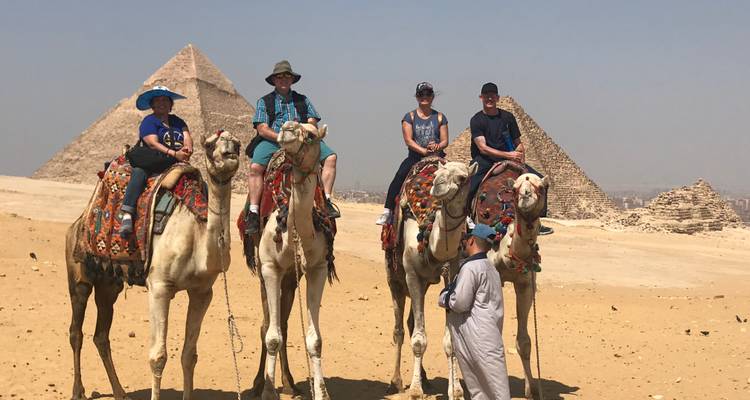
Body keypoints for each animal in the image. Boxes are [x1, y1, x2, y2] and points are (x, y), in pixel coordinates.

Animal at [65, 130, 241, 400]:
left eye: (239, 143)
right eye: (211, 145)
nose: (231, 153)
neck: (196, 232)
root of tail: (78, 222)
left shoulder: (202, 292)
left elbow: (189, 355)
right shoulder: (159, 287)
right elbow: (157, 357)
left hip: (109, 284)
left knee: (101, 336)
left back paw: (120, 392)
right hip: (79, 275)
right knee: (76, 332)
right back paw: (78, 391)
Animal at [257, 121, 334, 400]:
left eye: (311, 134)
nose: (287, 128)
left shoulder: (317, 268)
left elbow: (315, 340)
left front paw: (321, 392)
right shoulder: (270, 267)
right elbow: (271, 336)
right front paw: (268, 392)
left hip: (291, 280)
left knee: (284, 324)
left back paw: (289, 383)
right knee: (268, 325)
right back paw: (259, 384)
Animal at [386, 161, 478, 400]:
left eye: (462, 177)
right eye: (437, 173)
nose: (437, 185)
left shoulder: (453, 274)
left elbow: (451, 341)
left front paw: (456, 390)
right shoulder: (412, 274)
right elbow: (419, 340)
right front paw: (415, 391)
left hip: (426, 282)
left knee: (410, 323)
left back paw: (425, 379)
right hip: (395, 279)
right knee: (399, 329)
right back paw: (396, 381)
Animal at [486, 172, 548, 399]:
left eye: (542, 187)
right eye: (515, 189)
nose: (526, 196)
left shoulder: (526, 285)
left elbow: (525, 341)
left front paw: (531, 390)